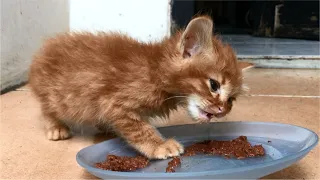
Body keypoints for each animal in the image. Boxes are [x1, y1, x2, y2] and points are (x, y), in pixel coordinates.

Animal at [28, 15, 252, 159]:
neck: (153, 71)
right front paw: (160, 146)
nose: (223, 110)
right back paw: (56, 127)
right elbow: (140, 129)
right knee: (47, 107)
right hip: (56, 95)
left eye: (231, 99)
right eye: (214, 85)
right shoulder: (115, 102)